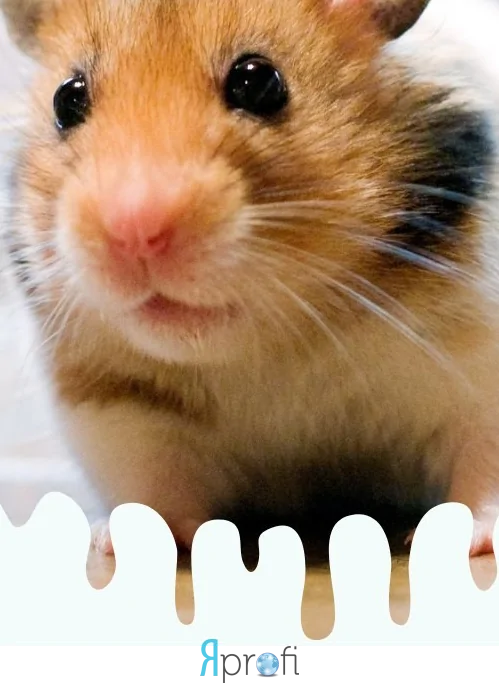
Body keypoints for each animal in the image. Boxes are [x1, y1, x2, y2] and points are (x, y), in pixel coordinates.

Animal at [2, 0, 499, 557]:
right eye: (67, 99)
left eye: (258, 83)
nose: (134, 232)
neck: (280, 342)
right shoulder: (118, 407)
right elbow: (153, 480)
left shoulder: (479, 368)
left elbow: (483, 465)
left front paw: (468, 541)